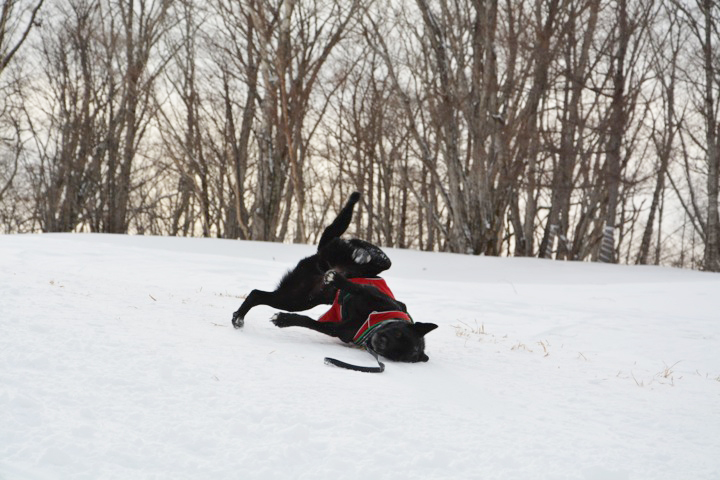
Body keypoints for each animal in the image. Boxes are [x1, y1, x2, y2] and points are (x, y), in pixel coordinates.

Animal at [232, 193, 390, 328]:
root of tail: (320, 254)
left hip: (295, 299)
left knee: (256, 294)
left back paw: (238, 317)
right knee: (380, 258)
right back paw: (361, 254)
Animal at [272, 272, 436, 362]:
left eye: (395, 354)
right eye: (398, 333)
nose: (382, 343)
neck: (371, 321)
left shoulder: (337, 329)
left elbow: (309, 322)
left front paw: (283, 319)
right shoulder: (372, 293)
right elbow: (356, 287)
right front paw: (336, 279)